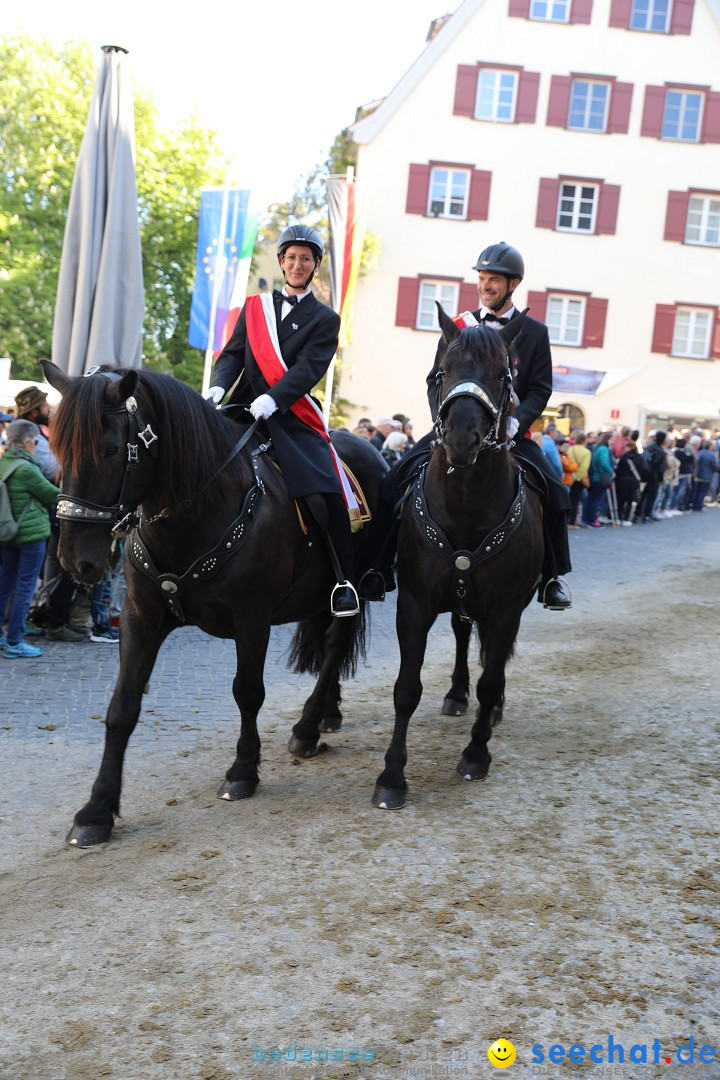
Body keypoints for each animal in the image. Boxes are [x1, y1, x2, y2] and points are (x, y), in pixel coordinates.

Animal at [39, 358, 388, 846]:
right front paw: (97, 810)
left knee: (335, 647)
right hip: (317, 598)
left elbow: (247, 691)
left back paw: (305, 728)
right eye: (56, 447)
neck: (196, 509)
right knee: (324, 650)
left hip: (349, 586)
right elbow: (121, 707)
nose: (75, 560)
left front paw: (242, 771)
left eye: (109, 450)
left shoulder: (251, 619)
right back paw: (326, 715)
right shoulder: (141, 618)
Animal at [375, 304, 544, 812]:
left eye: (503, 374)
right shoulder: (413, 604)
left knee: (492, 659)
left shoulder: (506, 608)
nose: (462, 438)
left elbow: (491, 679)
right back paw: (455, 694)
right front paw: (392, 777)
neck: (466, 502)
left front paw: (475, 755)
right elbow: (406, 689)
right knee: (463, 633)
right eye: (441, 372)